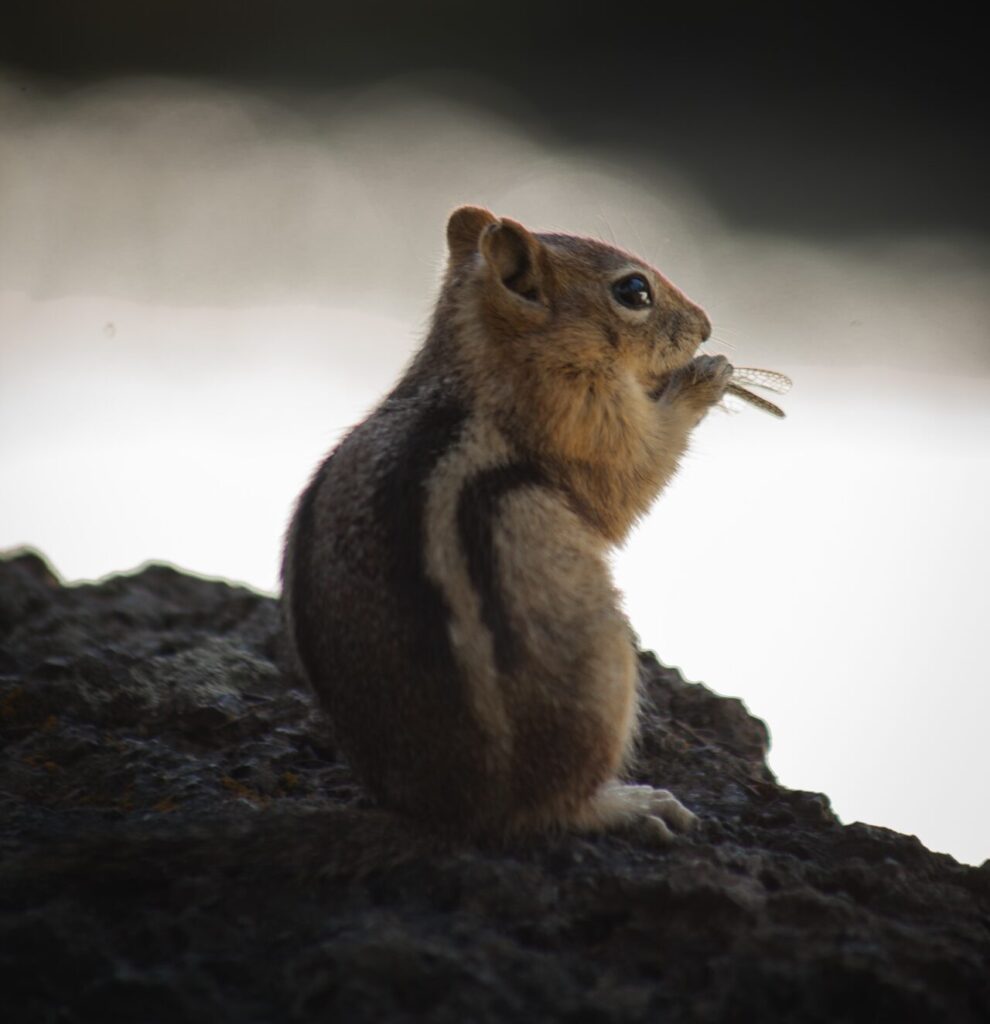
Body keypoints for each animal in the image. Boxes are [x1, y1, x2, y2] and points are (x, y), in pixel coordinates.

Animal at [282, 205, 733, 839]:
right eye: (634, 291)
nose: (707, 327)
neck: (478, 359)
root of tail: (464, 808)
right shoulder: (586, 420)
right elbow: (631, 477)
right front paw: (703, 379)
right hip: (605, 673)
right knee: (558, 808)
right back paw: (633, 805)